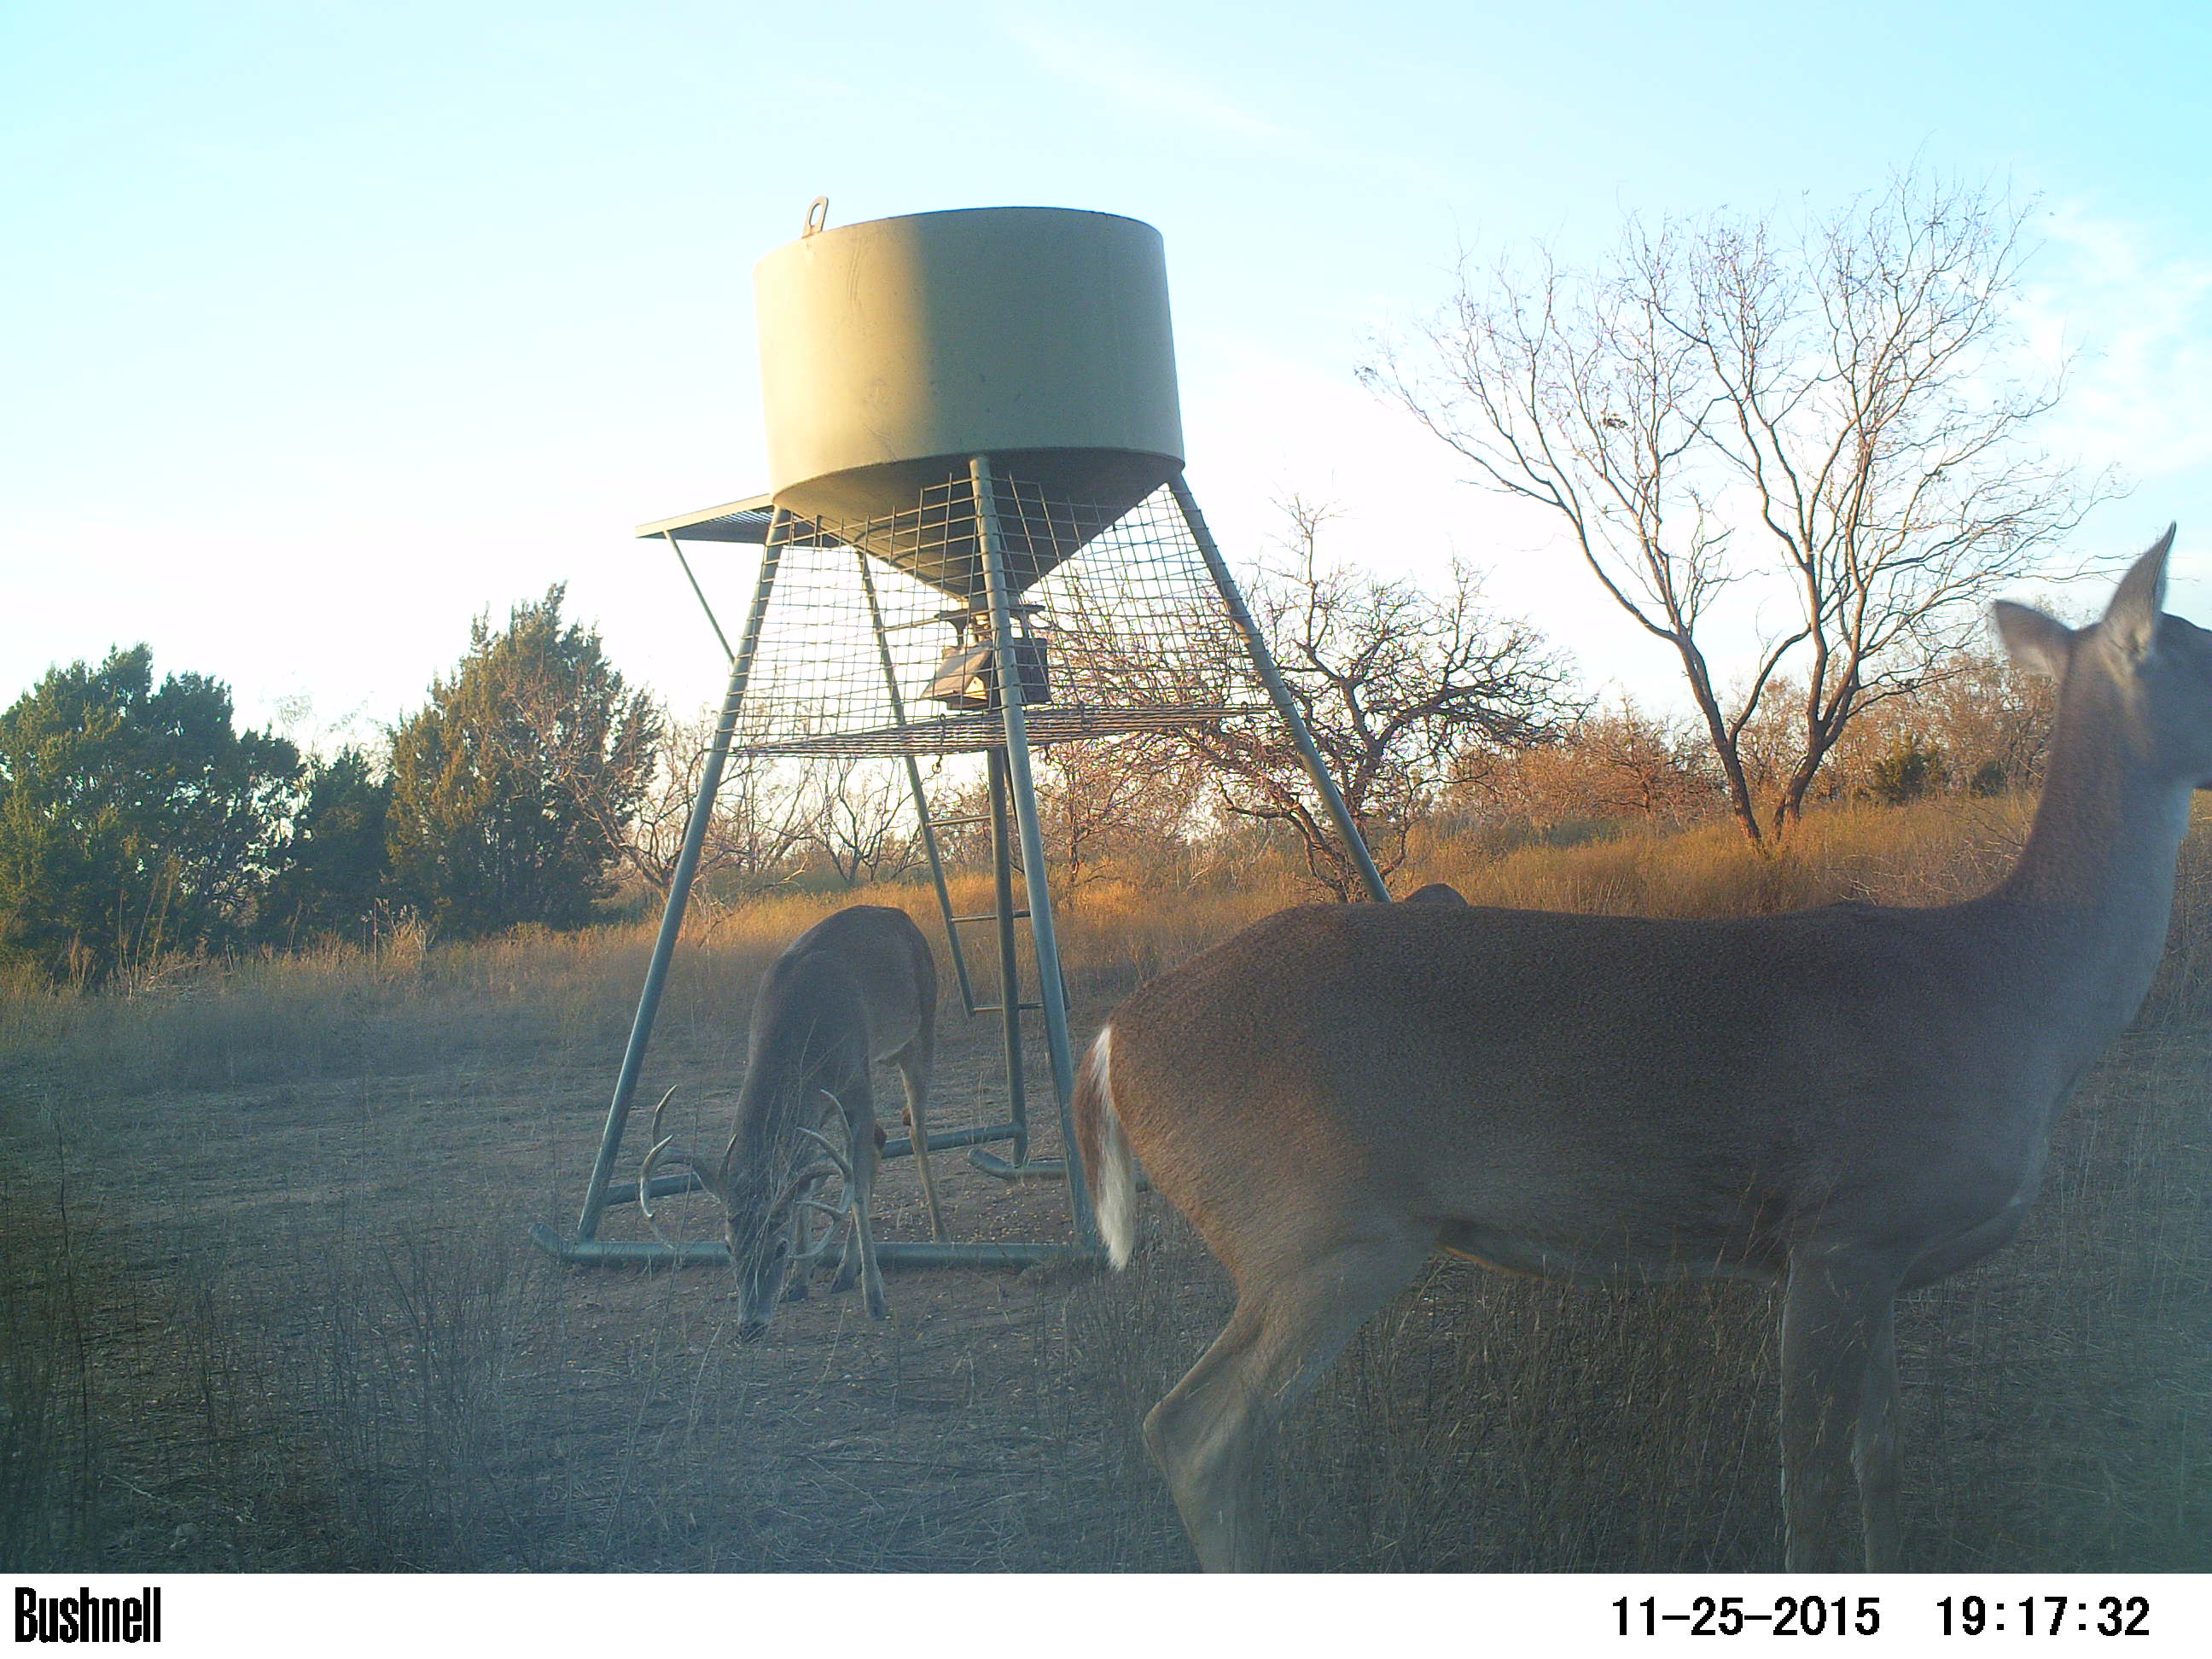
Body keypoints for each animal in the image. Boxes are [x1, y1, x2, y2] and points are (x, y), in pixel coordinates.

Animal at [645, 902, 946, 1344]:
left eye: (780, 1247)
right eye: (728, 1246)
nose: (750, 1326)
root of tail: (903, 918)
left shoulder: (856, 1083)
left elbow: (853, 1189)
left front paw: (875, 1298)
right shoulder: (813, 1108)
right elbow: (806, 1184)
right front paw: (799, 1282)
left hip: (920, 1029)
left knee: (916, 1132)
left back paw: (939, 1232)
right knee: (878, 1140)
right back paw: (843, 1272)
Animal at [1070, 528, 2194, 1575]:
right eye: (2205, 647)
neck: (2015, 993)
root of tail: (1116, 1041)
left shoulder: (1881, 1259)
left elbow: (1880, 1463)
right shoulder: (1837, 1231)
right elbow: (1808, 1491)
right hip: (1320, 1230)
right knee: (1195, 1432)